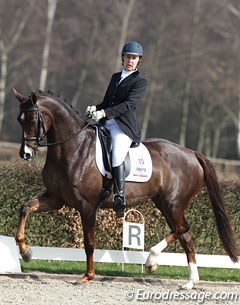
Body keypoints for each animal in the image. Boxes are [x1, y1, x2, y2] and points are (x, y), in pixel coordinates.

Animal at [12, 88, 238, 288]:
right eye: (19, 120)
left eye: (33, 119)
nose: (26, 154)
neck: (73, 149)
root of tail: (192, 153)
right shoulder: (55, 198)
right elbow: (25, 208)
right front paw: (25, 251)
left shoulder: (87, 206)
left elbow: (89, 243)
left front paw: (87, 276)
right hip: (165, 204)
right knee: (186, 237)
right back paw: (189, 282)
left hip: (173, 203)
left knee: (183, 229)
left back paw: (151, 261)